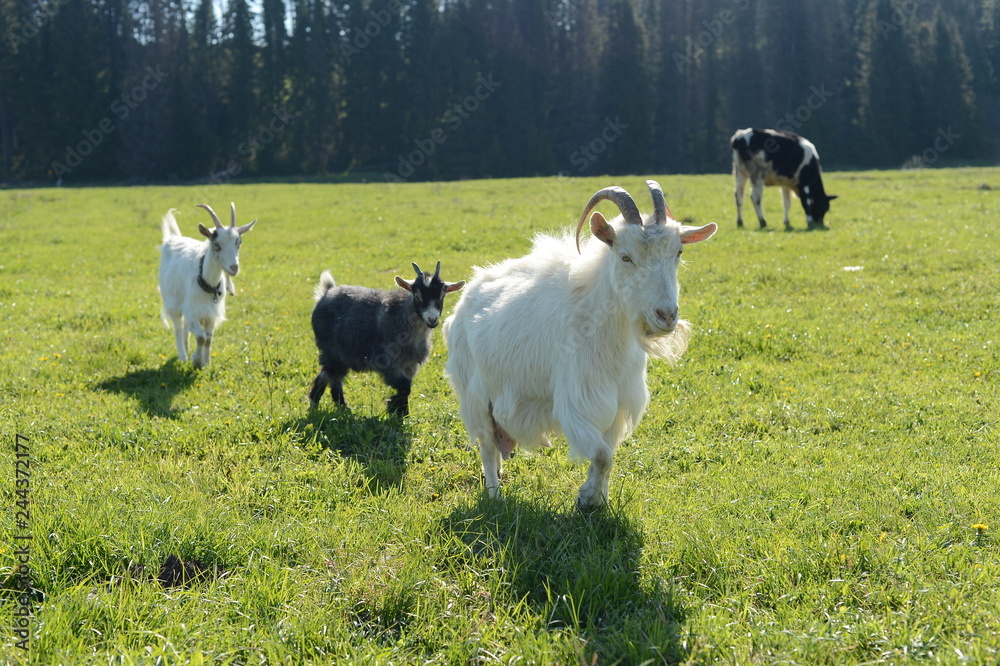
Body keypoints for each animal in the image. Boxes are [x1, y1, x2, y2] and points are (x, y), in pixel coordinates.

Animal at [158, 203, 256, 368]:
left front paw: (206, 362)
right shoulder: (192, 311)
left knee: (185, 328)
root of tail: (173, 238)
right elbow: (201, 337)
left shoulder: (211, 313)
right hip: (172, 302)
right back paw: (183, 356)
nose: (234, 268)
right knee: (178, 328)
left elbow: (208, 339)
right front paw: (196, 361)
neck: (207, 283)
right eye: (216, 245)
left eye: (239, 243)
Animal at [309, 262, 465, 416]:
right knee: (333, 376)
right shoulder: (388, 362)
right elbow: (404, 386)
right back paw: (336, 406)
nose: (432, 319)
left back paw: (320, 404)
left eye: (442, 295)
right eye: (417, 295)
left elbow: (406, 387)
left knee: (326, 374)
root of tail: (327, 293)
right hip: (332, 351)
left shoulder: (409, 364)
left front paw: (402, 412)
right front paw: (394, 408)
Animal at [443, 181, 716, 508]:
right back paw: (495, 495)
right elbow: (601, 456)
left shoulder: (619, 403)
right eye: (625, 256)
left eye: (678, 252)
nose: (666, 315)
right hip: (475, 394)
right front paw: (588, 499)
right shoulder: (576, 400)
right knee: (485, 444)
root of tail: (465, 297)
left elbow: (608, 455)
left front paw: (598, 497)